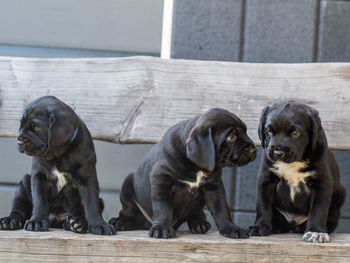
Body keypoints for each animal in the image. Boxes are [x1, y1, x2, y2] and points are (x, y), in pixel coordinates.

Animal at [0, 96, 116, 236]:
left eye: (36, 126)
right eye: (21, 124)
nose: (19, 140)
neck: (59, 155)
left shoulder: (87, 179)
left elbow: (91, 204)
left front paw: (100, 224)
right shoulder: (39, 177)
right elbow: (39, 201)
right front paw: (37, 221)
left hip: (99, 201)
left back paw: (76, 223)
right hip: (24, 183)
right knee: (18, 208)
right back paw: (9, 221)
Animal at [109, 108, 258, 240]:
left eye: (246, 131)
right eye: (231, 137)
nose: (253, 149)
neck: (196, 165)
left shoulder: (214, 186)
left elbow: (221, 208)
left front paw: (231, 228)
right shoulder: (161, 180)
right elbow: (163, 207)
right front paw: (162, 228)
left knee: (195, 211)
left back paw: (198, 223)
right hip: (127, 186)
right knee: (129, 212)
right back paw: (121, 222)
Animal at [250, 100, 346, 243]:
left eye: (295, 132)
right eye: (268, 131)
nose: (277, 153)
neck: (294, 162)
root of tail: (293, 222)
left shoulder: (321, 183)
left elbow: (318, 209)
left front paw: (316, 232)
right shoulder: (266, 179)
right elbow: (263, 204)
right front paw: (260, 226)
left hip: (340, 195)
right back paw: (275, 226)